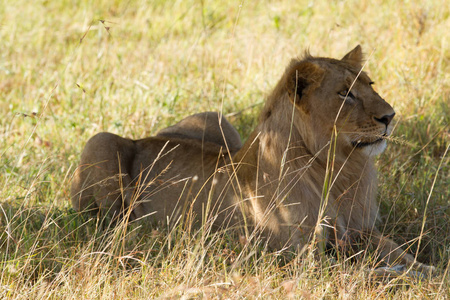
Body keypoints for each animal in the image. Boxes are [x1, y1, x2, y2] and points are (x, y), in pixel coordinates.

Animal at [72, 45, 434, 274]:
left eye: (370, 84)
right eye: (346, 93)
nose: (390, 116)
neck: (339, 168)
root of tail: (145, 138)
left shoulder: (361, 233)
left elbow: (398, 252)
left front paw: (428, 270)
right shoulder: (303, 259)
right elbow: (370, 272)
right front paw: (410, 277)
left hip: (214, 117)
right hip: (101, 143)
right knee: (110, 224)